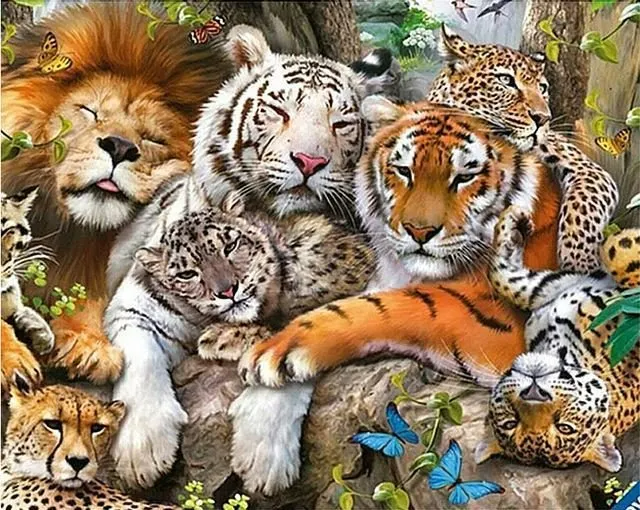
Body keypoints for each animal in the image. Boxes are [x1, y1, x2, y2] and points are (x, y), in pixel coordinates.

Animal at [104, 24, 388, 490]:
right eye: (278, 110)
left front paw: (262, 455)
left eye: (341, 123)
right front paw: (142, 450)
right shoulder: (136, 303)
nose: (309, 160)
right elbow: (137, 358)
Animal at [229, 98, 562, 494]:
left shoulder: (498, 324)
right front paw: (260, 443)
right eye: (404, 171)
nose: (419, 232)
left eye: (465, 176)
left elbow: (386, 306)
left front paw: (272, 352)